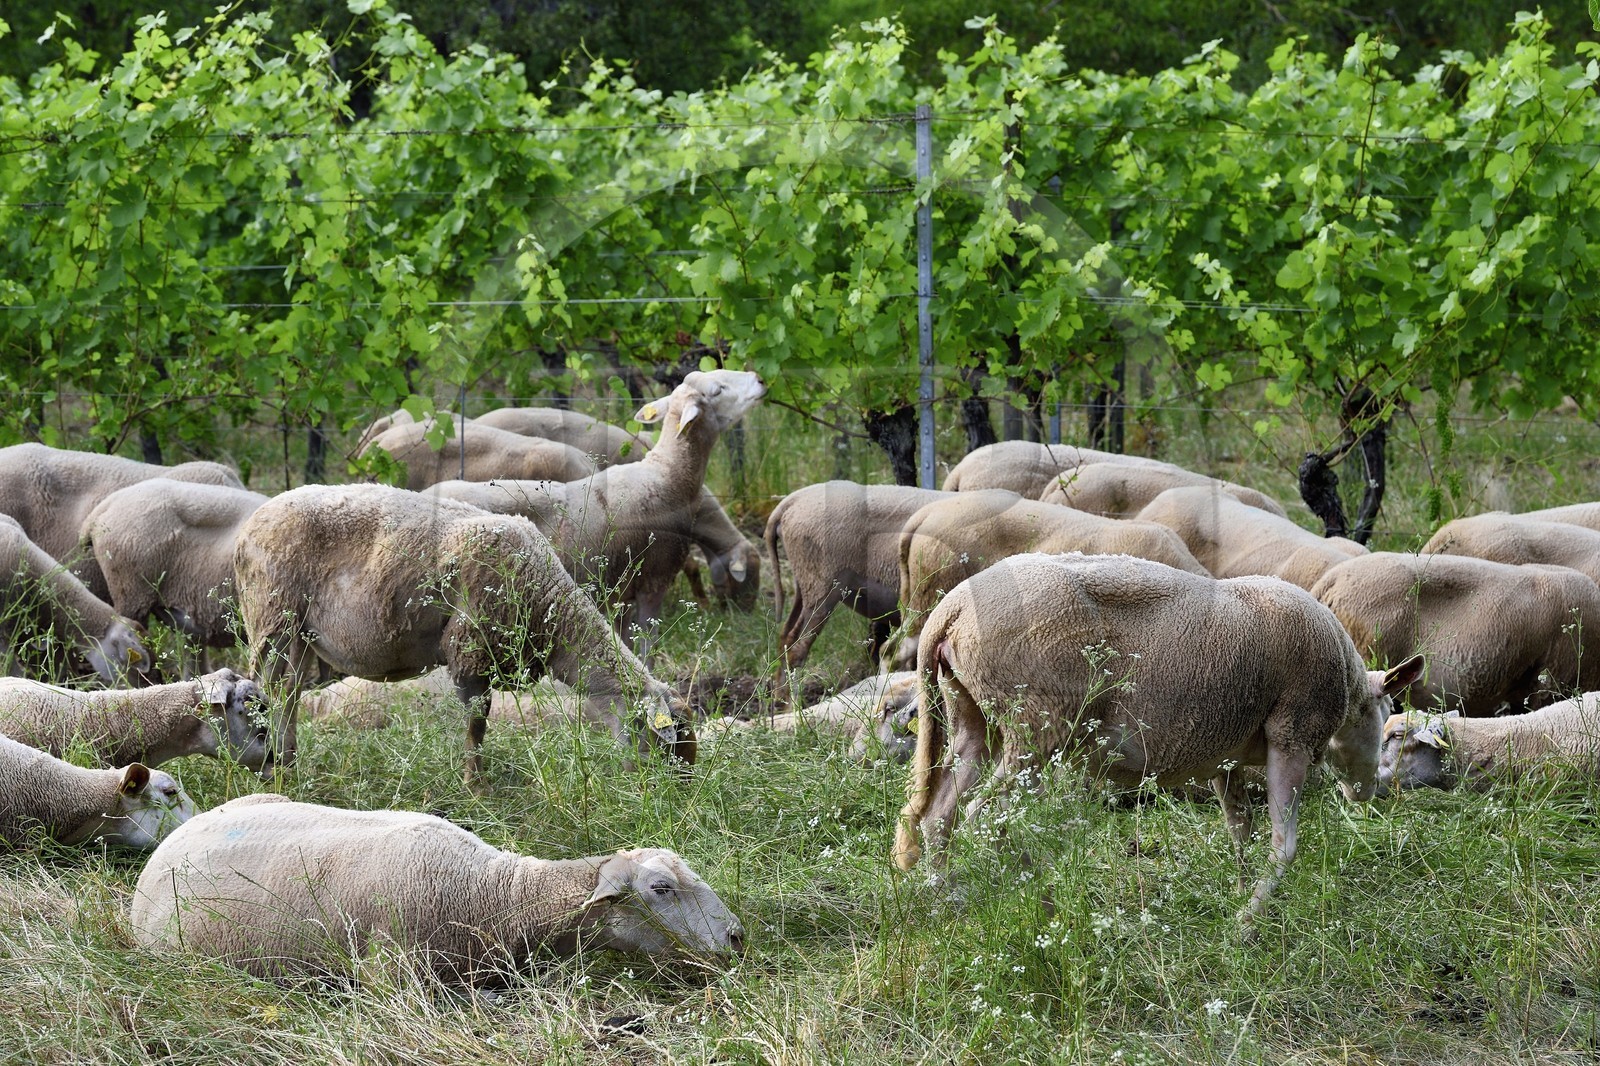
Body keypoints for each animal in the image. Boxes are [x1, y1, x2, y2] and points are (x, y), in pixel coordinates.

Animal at [232, 483, 693, 782]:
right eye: (666, 744)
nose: (673, 796)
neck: (550, 608)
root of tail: (249, 525)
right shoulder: (471, 652)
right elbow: (477, 726)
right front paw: (476, 787)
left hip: (298, 630)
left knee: (288, 693)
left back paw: (289, 761)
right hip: (271, 614)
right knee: (267, 690)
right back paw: (269, 766)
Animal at [425, 370, 766, 654]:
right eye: (718, 389)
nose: (759, 379)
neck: (667, 474)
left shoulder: (622, 594)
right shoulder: (653, 582)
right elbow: (647, 649)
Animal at [893, 552, 1422, 923]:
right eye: (1386, 717)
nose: (1369, 792)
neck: (1347, 687)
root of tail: (951, 609)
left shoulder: (1224, 759)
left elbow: (1240, 830)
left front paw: (1239, 891)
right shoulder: (1292, 734)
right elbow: (1282, 844)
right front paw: (1248, 921)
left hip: (972, 716)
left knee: (940, 813)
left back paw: (949, 898)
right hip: (1038, 724)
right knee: (986, 815)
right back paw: (1025, 897)